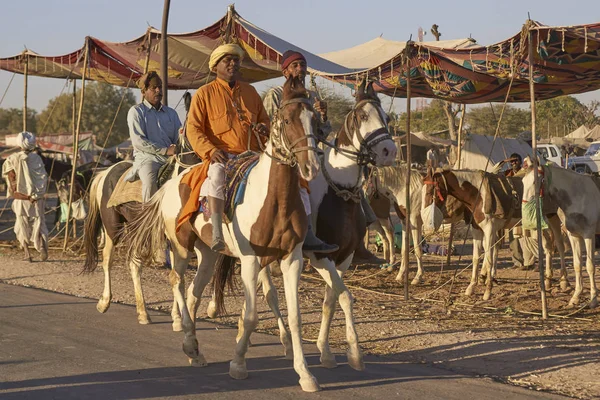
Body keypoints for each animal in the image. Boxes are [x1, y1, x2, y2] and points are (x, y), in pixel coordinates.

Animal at [124, 76, 326, 392]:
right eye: (287, 119)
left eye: (315, 121)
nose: (311, 166)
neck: (273, 200)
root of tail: (171, 183)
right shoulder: (251, 260)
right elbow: (252, 315)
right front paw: (238, 364)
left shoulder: (291, 259)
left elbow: (295, 317)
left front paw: (305, 373)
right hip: (181, 247)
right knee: (177, 283)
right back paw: (189, 340)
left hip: (206, 254)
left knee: (193, 292)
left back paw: (192, 348)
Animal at [524, 164, 596, 308]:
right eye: (522, 181)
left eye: (535, 181)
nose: (523, 205)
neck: (578, 195)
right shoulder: (574, 236)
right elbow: (577, 265)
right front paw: (575, 297)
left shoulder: (589, 235)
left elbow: (590, 266)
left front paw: (593, 299)